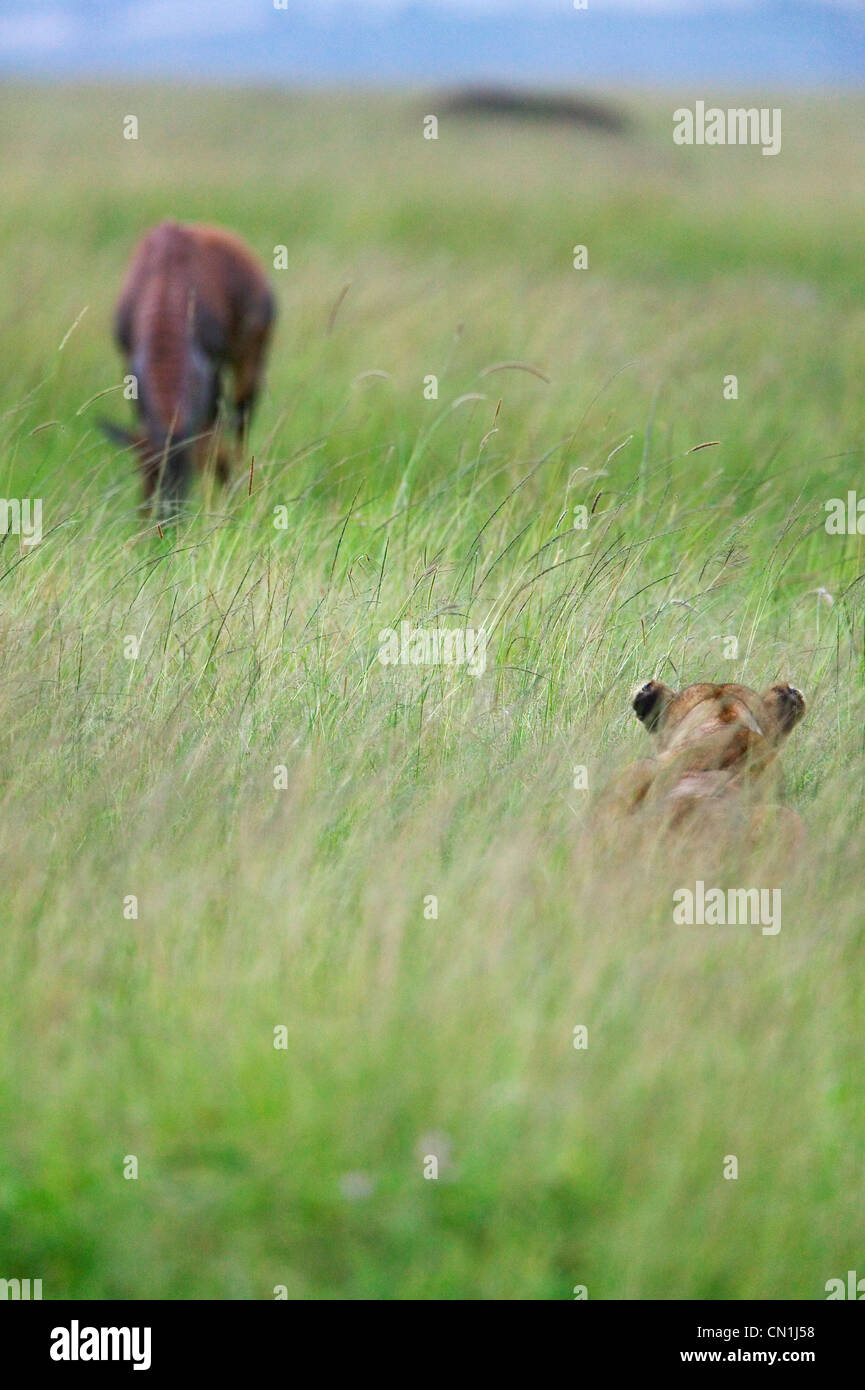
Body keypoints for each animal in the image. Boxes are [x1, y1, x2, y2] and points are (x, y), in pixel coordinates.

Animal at [103, 222, 276, 517]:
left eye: (186, 471)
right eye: (148, 471)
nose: (166, 520)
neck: (168, 277)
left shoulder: (212, 370)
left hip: (250, 361)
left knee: (240, 428)